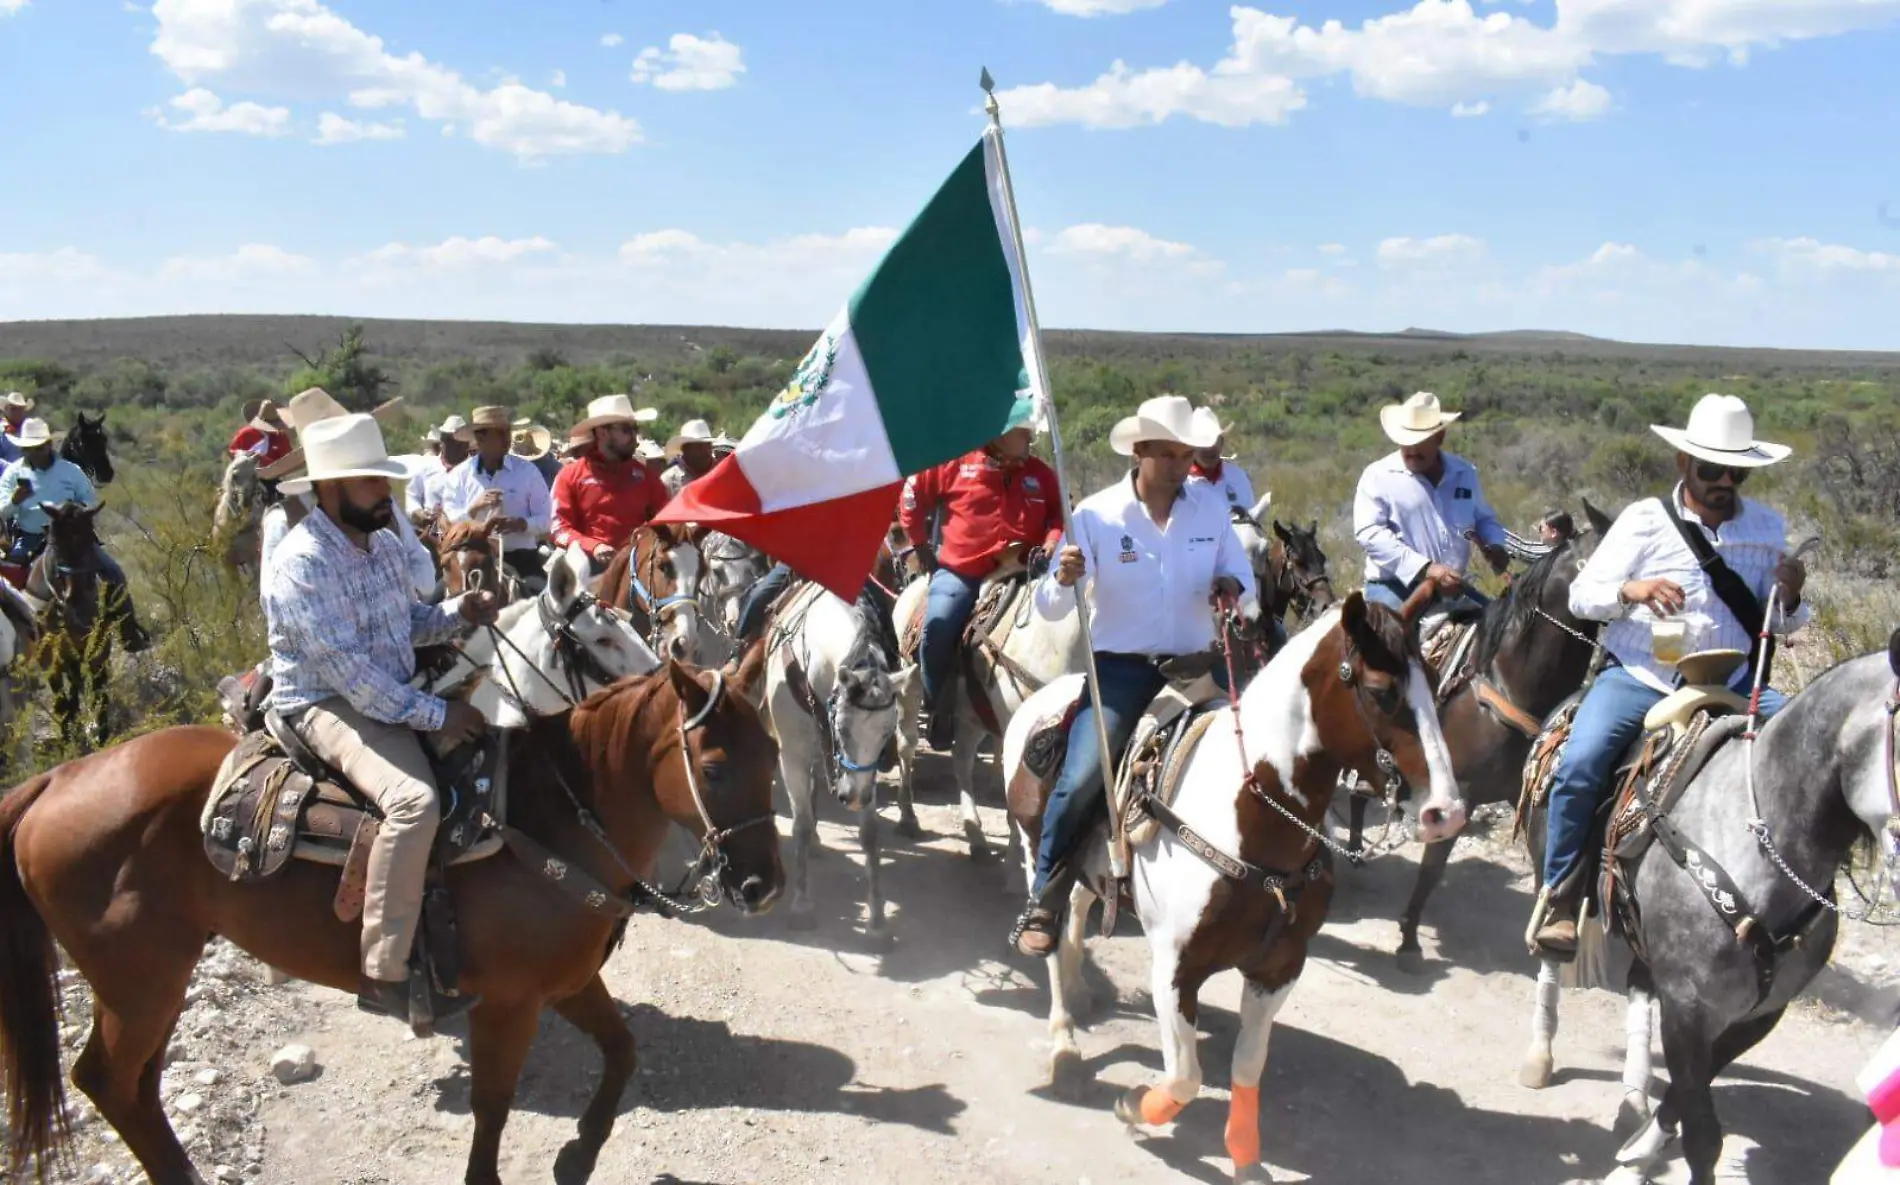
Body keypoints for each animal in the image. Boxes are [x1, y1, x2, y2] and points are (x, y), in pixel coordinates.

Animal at [0, 668, 782, 1185]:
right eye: (713, 767)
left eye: (773, 755)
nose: (762, 886)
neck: (550, 818)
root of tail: (58, 779)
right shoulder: (509, 1002)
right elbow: (493, 1104)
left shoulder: (569, 982)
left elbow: (621, 1052)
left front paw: (577, 1155)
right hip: (140, 985)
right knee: (106, 1079)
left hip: (160, 980)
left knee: (138, 1085)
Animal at [760, 588, 900, 934]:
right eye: (843, 728)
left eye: (887, 732)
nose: (854, 797)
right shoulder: (791, 755)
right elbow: (800, 824)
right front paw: (801, 905)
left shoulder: (865, 774)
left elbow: (869, 834)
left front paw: (877, 918)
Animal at [1003, 588, 1459, 1177]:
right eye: (1382, 691)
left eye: (1434, 678)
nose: (1446, 812)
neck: (1250, 817)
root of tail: (1045, 697)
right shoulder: (1175, 968)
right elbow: (1185, 1076)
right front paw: (1132, 1106)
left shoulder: (1279, 967)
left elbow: (1248, 1065)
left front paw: (1244, 1157)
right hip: (1035, 846)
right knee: (1054, 933)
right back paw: (1065, 1049)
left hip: (1092, 866)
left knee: (1080, 906)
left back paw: (1081, 994)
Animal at [1520, 630, 1900, 1177]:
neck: (1759, 845)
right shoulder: (1689, 1009)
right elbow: (1702, 1135)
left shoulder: (1759, 1014)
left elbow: (1684, 1096)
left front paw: (1639, 1148)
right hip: (1551, 866)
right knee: (1553, 944)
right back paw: (1541, 1053)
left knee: (1639, 986)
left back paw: (1633, 1099)